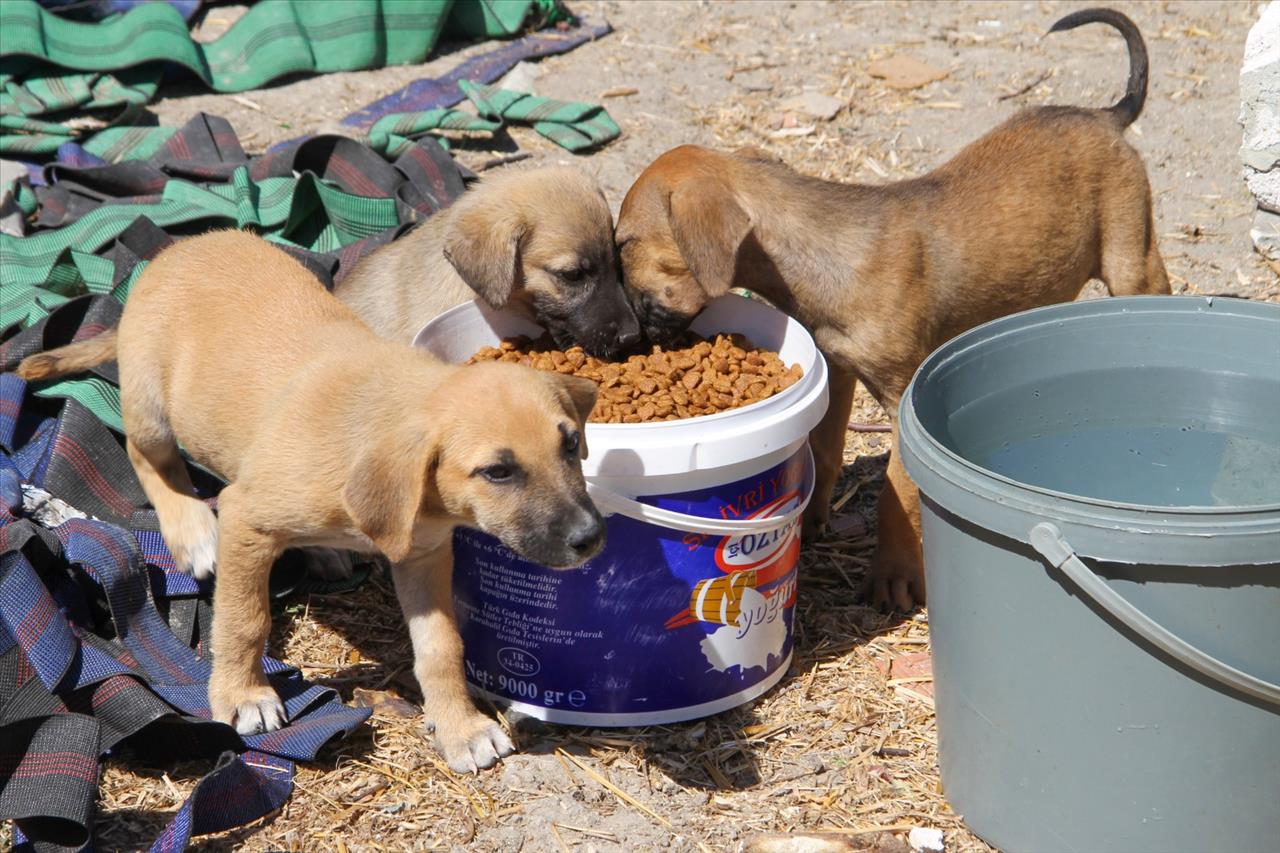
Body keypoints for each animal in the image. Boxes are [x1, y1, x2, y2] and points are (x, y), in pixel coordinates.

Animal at [15, 227, 604, 768]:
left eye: (569, 444)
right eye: (498, 472)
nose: (591, 538)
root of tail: (178, 248)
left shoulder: (425, 554)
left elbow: (442, 647)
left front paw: (461, 727)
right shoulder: (246, 520)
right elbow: (244, 619)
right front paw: (242, 695)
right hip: (149, 406)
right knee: (149, 459)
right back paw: (192, 530)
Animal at [616, 9, 1172, 614]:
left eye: (623, 245)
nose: (627, 338)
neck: (819, 257)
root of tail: (1105, 116)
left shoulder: (902, 395)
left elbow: (896, 494)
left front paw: (894, 575)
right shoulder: (838, 369)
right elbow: (824, 447)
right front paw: (812, 519)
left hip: (1132, 257)